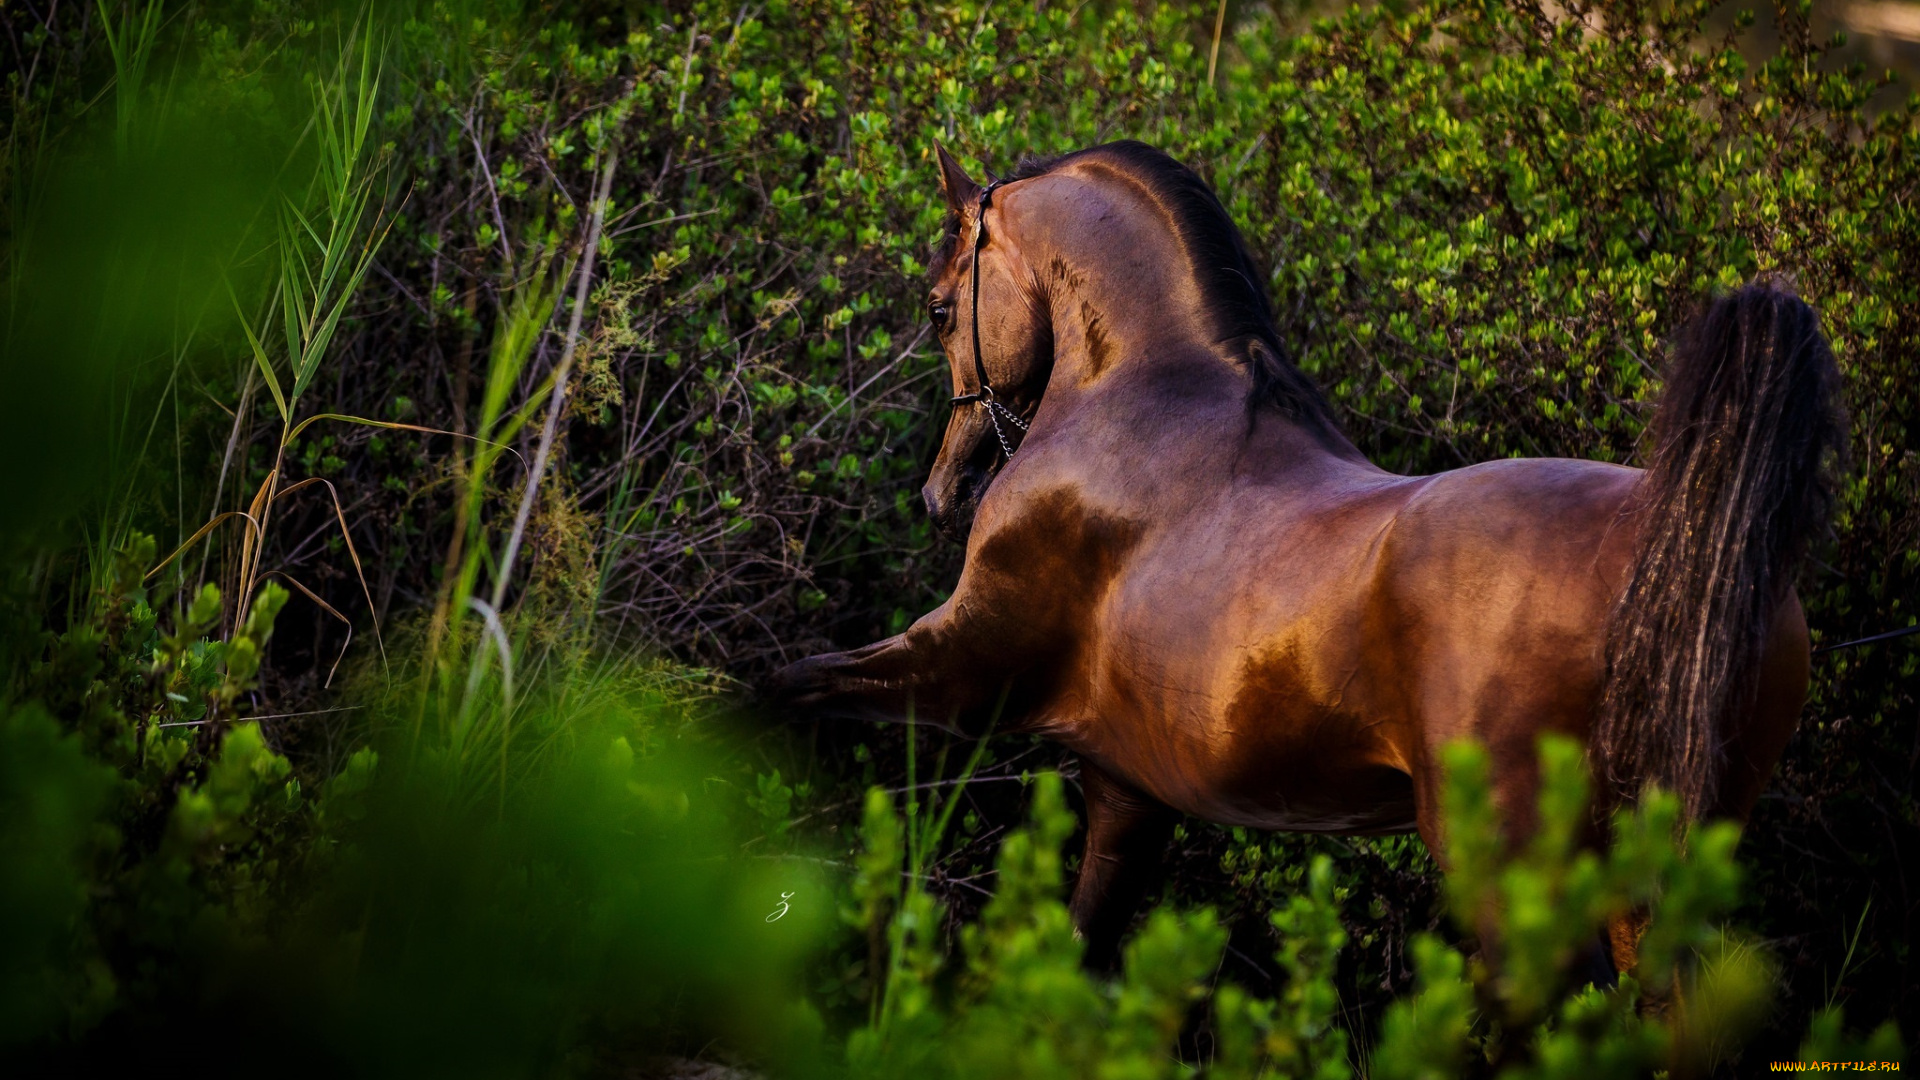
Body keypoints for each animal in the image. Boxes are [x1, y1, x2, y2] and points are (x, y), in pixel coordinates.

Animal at [771, 138, 1850, 972]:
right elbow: (1081, 939)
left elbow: (790, 683)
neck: (1139, 404)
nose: (940, 490)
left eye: (938, 306)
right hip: (1653, 873)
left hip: (1512, 868)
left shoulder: (961, 669)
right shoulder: (1128, 790)